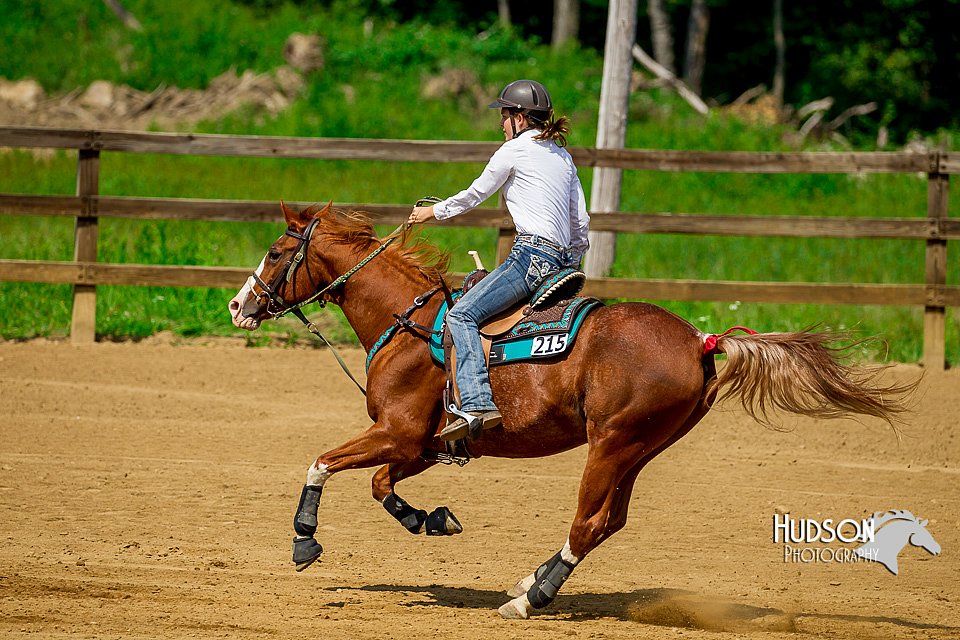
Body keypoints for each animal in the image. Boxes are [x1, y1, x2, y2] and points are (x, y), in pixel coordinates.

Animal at [229, 202, 920, 616]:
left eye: (275, 252)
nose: (238, 307)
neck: (409, 324)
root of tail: (700, 339)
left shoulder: (396, 433)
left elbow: (323, 461)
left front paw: (304, 539)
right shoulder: (423, 446)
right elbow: (379, 485)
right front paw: (433, 520)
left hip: (612, 444)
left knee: (588, 524)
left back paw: (528, 597)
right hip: (638, 450)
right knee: (610, 522)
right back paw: (529, 581)